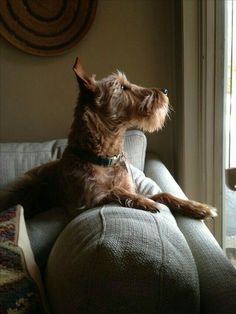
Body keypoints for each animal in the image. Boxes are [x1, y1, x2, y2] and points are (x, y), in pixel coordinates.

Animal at [0, 57, 217, 218]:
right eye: (122, 87)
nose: (164, 90)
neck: (105, 156)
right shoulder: (86, 202)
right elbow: (115, 191)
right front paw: (145, 202)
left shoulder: (132, 187)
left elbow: (162, 193)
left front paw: (197, 207)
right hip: (26, 186)